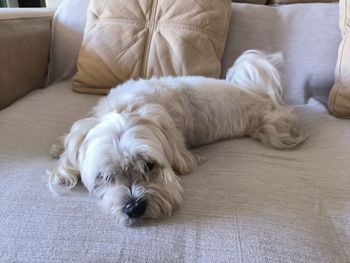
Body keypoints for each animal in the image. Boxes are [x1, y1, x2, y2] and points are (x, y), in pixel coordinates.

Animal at [49, 50, 306, 226]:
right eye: (105, 176)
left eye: (149, 165)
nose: (134, 208)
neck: (130, 107)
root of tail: (256, 93)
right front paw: (59, 149)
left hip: (270, 124)